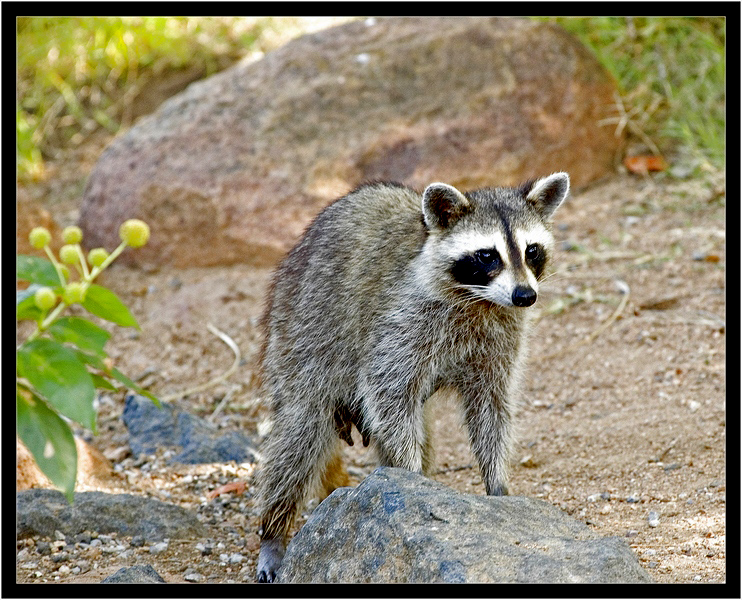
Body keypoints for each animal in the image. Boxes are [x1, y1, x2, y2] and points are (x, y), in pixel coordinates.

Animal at [254, 172, 568, 580]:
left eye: (531, 251)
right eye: (487, 256)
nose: (525, 295)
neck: (478, 299)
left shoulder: (499, 337)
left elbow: (492, 407)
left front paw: (497, 483)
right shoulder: (403, 320)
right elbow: (388, 389)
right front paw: (410, 477)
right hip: (299, 333)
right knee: (299, 437)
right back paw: (274, 531)